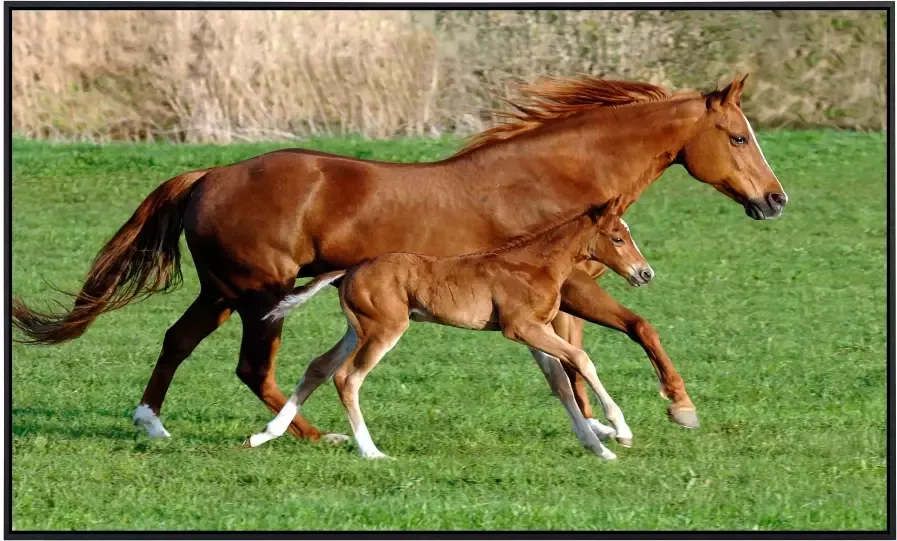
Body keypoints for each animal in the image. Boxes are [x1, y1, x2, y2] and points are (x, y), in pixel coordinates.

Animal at [245, 196, 652, 458]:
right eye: (618, 237)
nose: (645, 273)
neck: (536, 264)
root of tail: (350, 270)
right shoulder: (521, 328)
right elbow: (581, 359)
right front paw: (621, 431)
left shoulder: (537, 332)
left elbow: (561, 385)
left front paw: (598, 448)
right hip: (384, 330)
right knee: (347, 378)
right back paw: (372, 452)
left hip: (357, 329)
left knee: (319, 367)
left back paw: (264, 435)